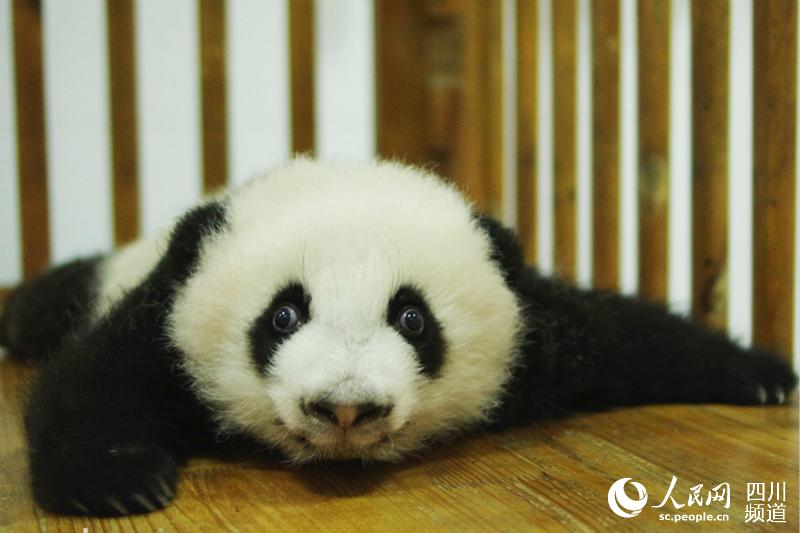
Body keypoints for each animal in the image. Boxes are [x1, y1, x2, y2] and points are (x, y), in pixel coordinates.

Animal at [0, 159, 796, 516]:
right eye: (283, 316)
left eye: (413, 319)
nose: (345, 407)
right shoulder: (166, 320)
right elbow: (95, 381)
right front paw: (119, 480)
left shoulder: (537, 337)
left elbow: (627, 338)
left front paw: (760, 373)